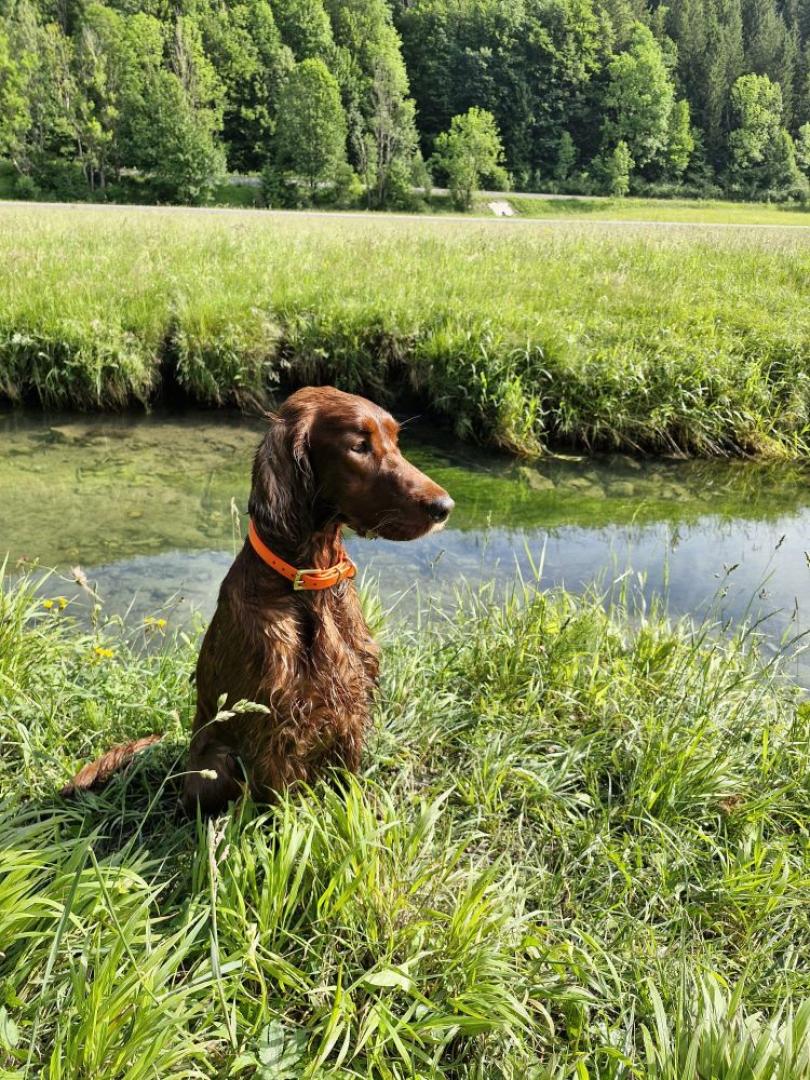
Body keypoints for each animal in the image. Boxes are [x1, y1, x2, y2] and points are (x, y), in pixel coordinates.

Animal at [61, 388, 457, 812]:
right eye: (359, 446)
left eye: (396, 442)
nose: (444, 507)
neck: (309, 587)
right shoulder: (277, 728)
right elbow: (286, 808)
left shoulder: (351, 707)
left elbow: (349, 786)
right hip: (216, 763)